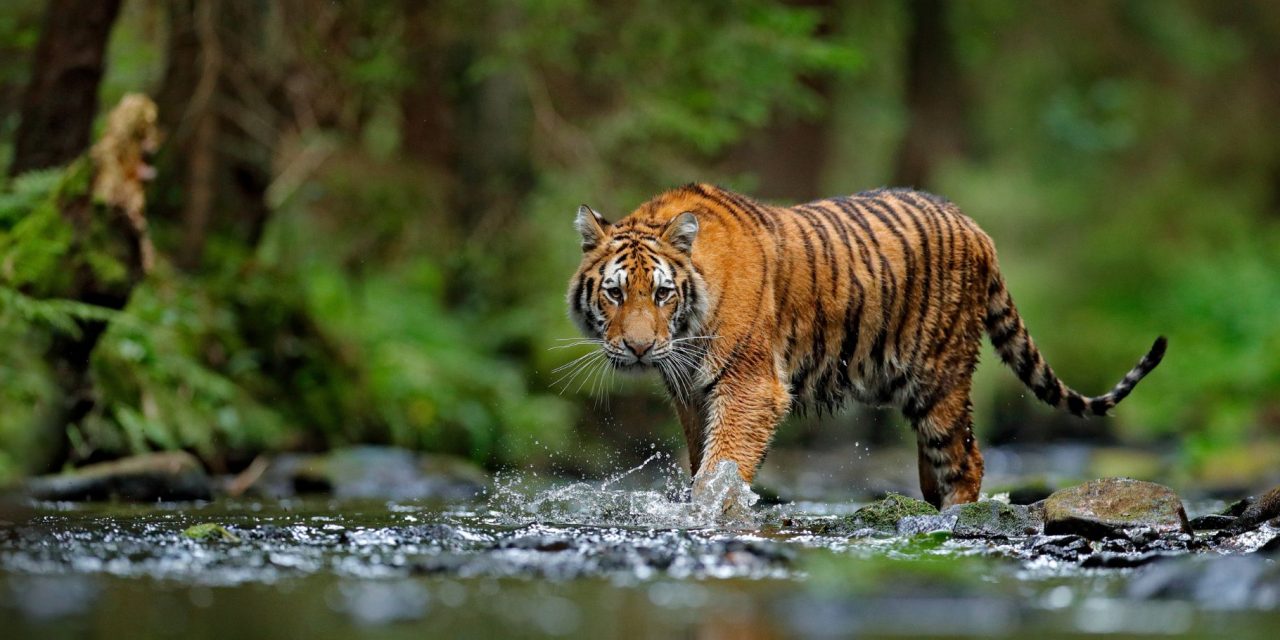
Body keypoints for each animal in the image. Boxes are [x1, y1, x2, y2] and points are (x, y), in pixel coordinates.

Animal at [566, 183, 1166, 508]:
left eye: (662, 293)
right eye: (615, 293)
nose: (639, 349)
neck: (687, 329)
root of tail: (976, 227)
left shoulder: (749, 386)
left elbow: (722, 466)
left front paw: (711, 512)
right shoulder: (691, 393)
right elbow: (702, 462)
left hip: (940, 378)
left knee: (966, 458)